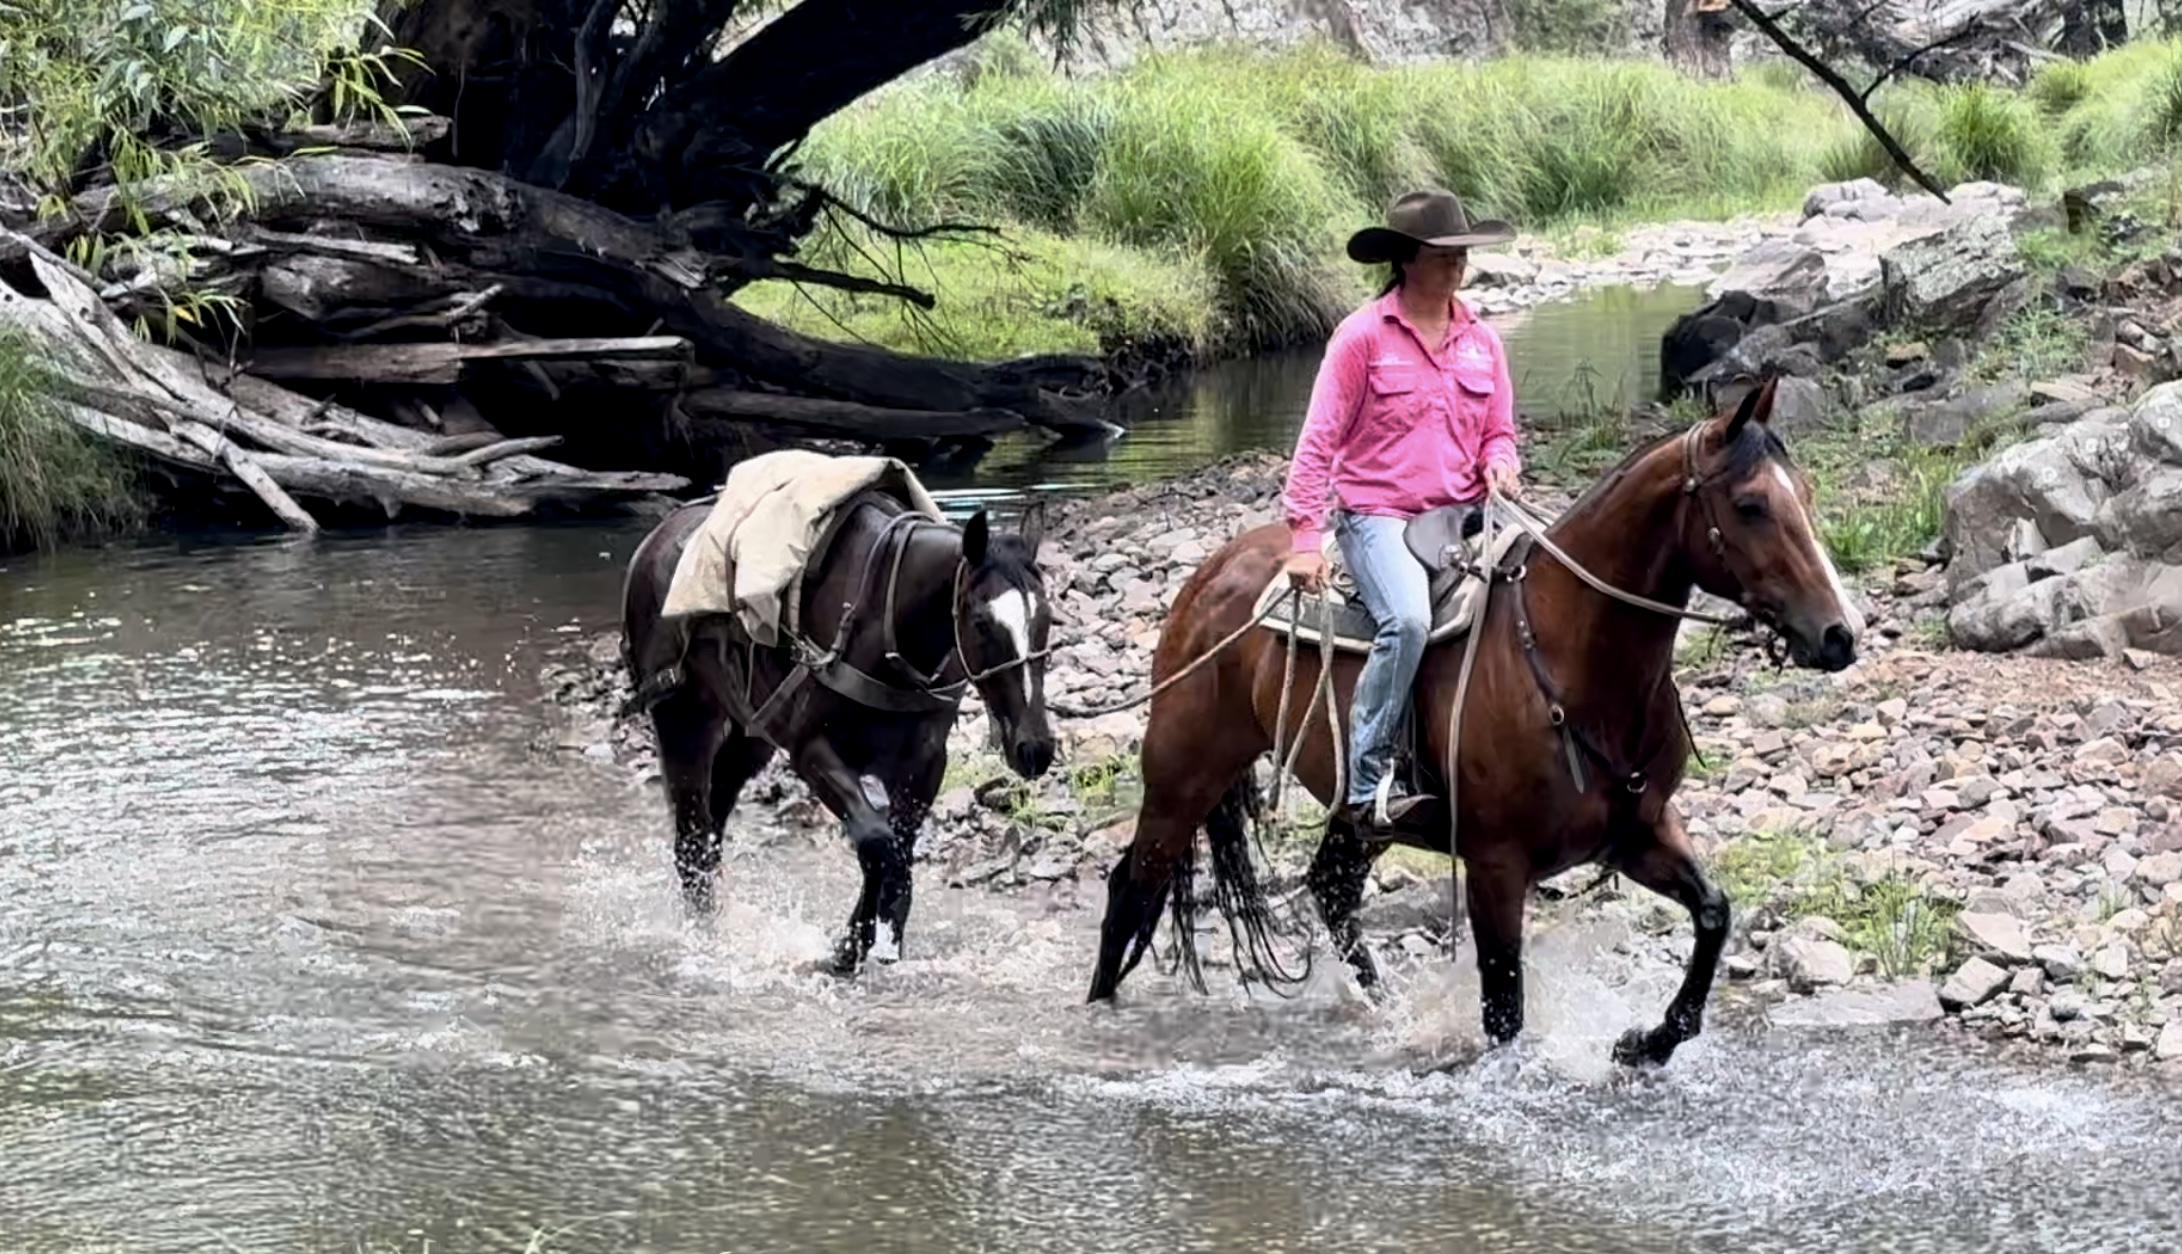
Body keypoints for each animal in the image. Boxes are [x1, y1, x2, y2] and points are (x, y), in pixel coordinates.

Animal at [620, 490, 1058, 975]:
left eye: (1046, 618)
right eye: (982, 623)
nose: (1034, 748)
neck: (887, 628)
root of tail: (652, 544)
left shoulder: (924, 763)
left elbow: (896, 855)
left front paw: (875, 944)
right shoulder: (812, 752)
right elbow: (878, 845)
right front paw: (850, 949)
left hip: (749, 739)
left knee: (712, 832)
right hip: (683, 721)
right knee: (692, 841)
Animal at [1084, 376, 1864, 1068]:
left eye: (1806, 496)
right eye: (1751, 504)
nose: (1840, 635)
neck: (1567, 656)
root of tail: (1213, 573)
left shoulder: (1638, 832)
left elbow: (1713, 914)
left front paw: (1645, 1043)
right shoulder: (1496, 864)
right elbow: (1505, 1007)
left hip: (1360, 814)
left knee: (1330, 891)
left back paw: (1385, 1011)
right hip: (1184, 774)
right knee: (1132, 890)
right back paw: (1096, 1014)